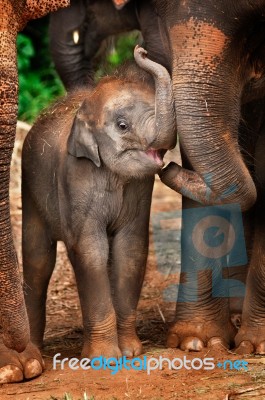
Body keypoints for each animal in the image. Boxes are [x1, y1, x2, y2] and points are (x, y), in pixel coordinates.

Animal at [22, 46, 175, 360]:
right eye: (122, 125)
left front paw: (131, 352)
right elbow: (90, 249)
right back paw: (34, 353)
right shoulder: (75, 176)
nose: (140, 49)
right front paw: (105, 358)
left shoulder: (140, 188)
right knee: (38, 259)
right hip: (30, 191)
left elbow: (130, 248)